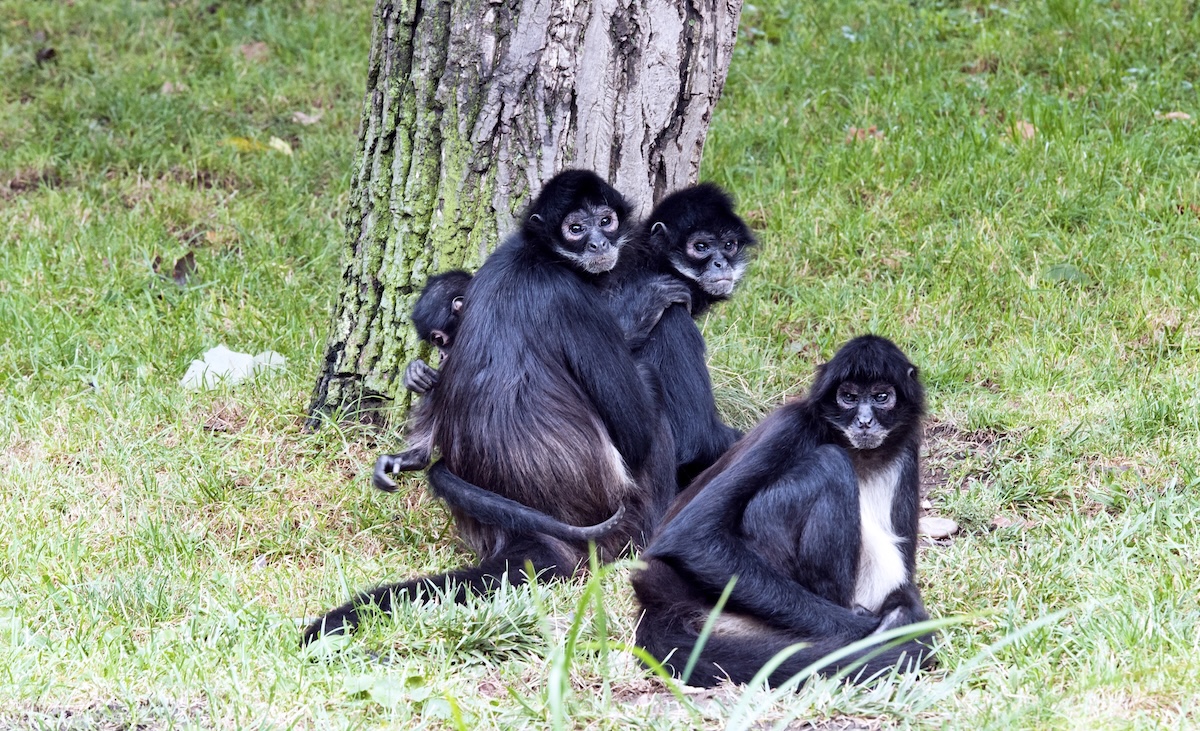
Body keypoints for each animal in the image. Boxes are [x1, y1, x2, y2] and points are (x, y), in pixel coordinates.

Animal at [303, 170, 677, 645]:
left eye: (606, 220)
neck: (535, 256)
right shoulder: (571, 297)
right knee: (651, 402)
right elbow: (637, 432)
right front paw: (642, 307)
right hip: (626, 518)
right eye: (575, 229)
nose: (597, 244)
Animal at [631, 335, 935, 688]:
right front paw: (879, 631)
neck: (859, 454)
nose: (864, 421)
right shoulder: (791, 424)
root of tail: (657, 599)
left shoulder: (909, 447)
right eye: (848, 397)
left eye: (881, 397)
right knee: (829, 464)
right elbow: (688, 537)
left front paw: (904, 616)